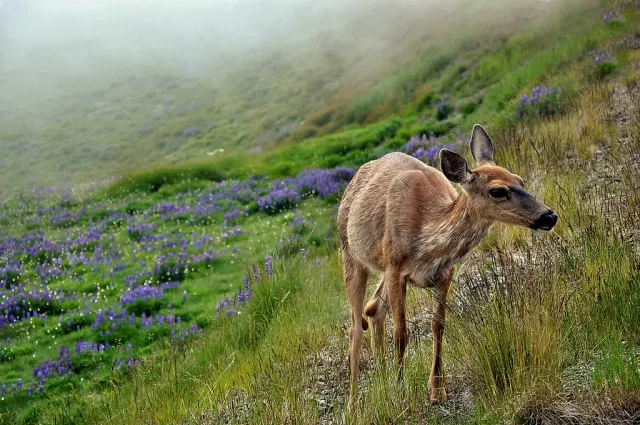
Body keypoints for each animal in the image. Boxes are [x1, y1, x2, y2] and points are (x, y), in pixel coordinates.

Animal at [338, 123, 556, 408]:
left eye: (520, 180)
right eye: (497, 191)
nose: (549, 216)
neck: (426, 238)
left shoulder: (443, 273)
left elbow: (438, 326)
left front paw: (437, 391)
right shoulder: (396, 266)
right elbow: (401, 333)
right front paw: (401, 393)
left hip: (382, 268)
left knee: (373, 309)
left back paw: (382, 378)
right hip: (351, 254)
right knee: (355, 327)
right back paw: (353, 403)